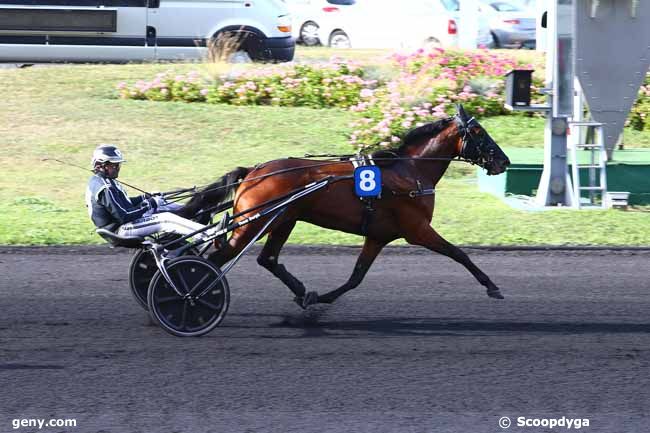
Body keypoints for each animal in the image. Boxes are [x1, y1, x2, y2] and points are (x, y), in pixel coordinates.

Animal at [180, 104, 508, 308]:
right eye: (478, 132)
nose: (504, 161)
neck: (409, 172)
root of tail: (253, 172)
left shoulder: (378, 236)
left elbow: (356, 277)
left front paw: (319, 298)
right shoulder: (417, 230)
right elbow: (458, 253)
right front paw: (492, 285)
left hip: (284, 219)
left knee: (268, 259)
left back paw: (300, 290)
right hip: (254, 224)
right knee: (219, 258)